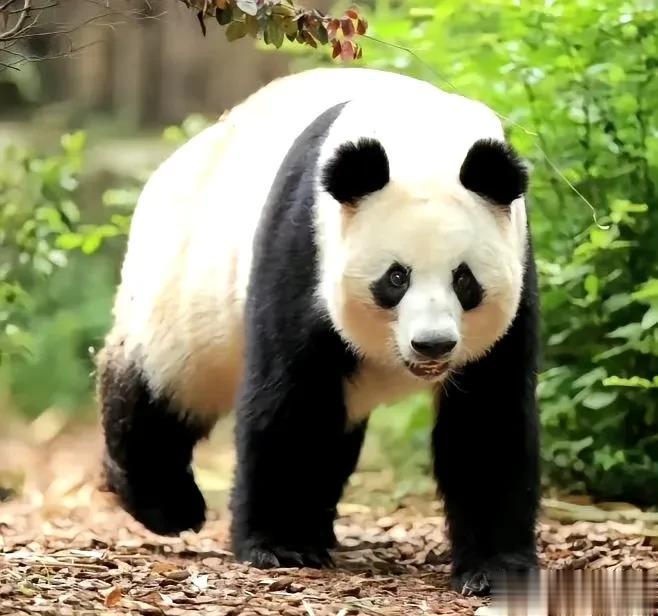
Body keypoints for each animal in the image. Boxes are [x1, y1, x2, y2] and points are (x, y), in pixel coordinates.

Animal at [97, 65, 540, 596]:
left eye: (464, 280)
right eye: (396, 278)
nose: (432, 345)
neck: (419, 141)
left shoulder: (517, 269)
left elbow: (488, 422)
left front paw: (498, 569)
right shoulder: (303, 243)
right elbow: (289, 398)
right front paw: (281, 546)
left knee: (334, 435)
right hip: (183, 277)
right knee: (162, 384)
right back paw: (165, 503)